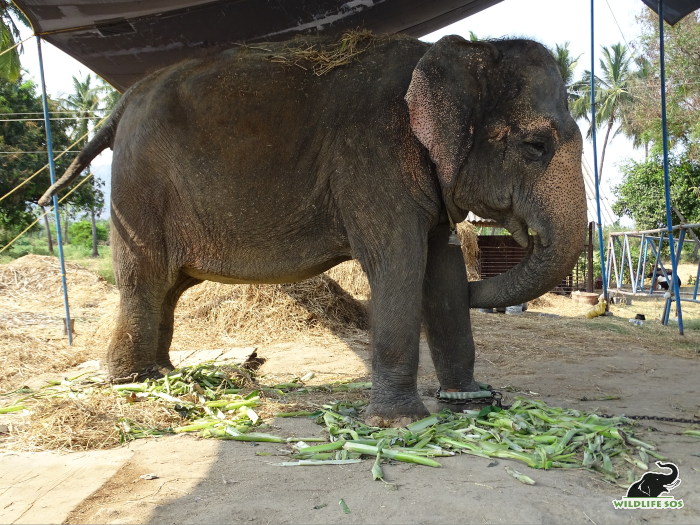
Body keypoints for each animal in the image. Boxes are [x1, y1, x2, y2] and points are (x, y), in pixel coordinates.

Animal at [37, 32, 584, 424]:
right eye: (536, 146)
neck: (459, 52)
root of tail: (123, 102)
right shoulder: (372, 155)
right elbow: (400, 263)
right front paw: (399, 424)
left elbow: (442, 271)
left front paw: (467, 403)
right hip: (138, 185)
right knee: (145, 281)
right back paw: (136, 384)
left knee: (167, 288)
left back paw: (166, 375)